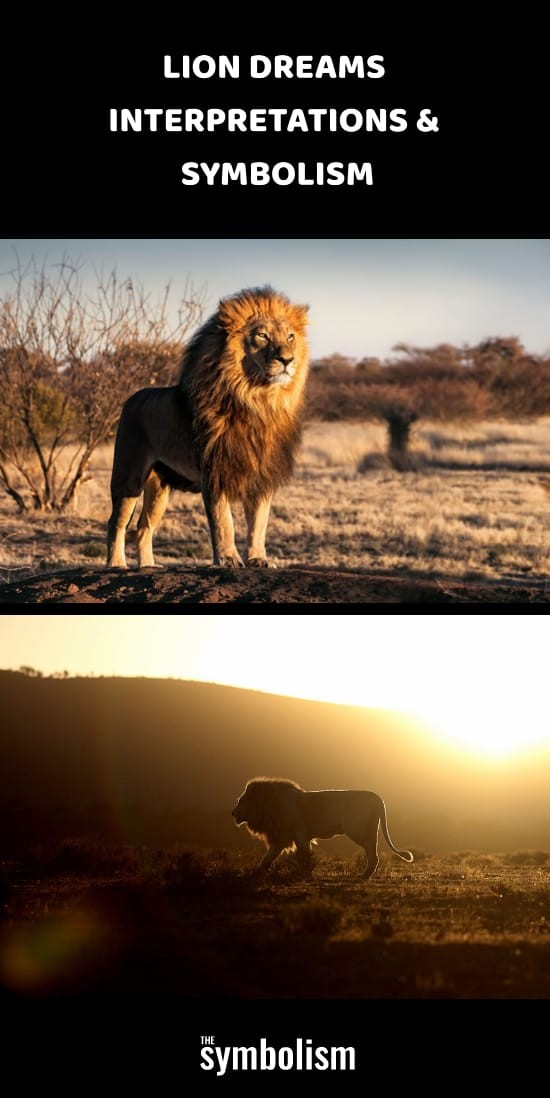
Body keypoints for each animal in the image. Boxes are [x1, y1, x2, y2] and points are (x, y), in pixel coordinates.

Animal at [106, 283, 310, 567]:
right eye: (262, 336)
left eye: (290, 336)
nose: (287, 360)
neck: (257, 401)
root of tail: (132, 397)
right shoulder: (214, 470)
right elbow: (224, 521)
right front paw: (228, 559)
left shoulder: (262, 474)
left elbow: (259, 523)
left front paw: (258, 558)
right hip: (129, 476)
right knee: (116, 522)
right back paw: (117, 565)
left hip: (159, 487)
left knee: (144, 527)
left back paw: (148, 566)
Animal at [229, 778, 413, 880]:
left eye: (241, 801)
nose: (232, 813)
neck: (269, 806)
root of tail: (377, 798)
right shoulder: (281, 838)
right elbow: (266, 859)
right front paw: (255, 874)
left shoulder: (299, 832)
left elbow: (304, 854)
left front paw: (306, 875)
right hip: (369, 830)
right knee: (372, 853)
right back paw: (366, 874)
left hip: (357, 830)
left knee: (372, 854)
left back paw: (364, 876)